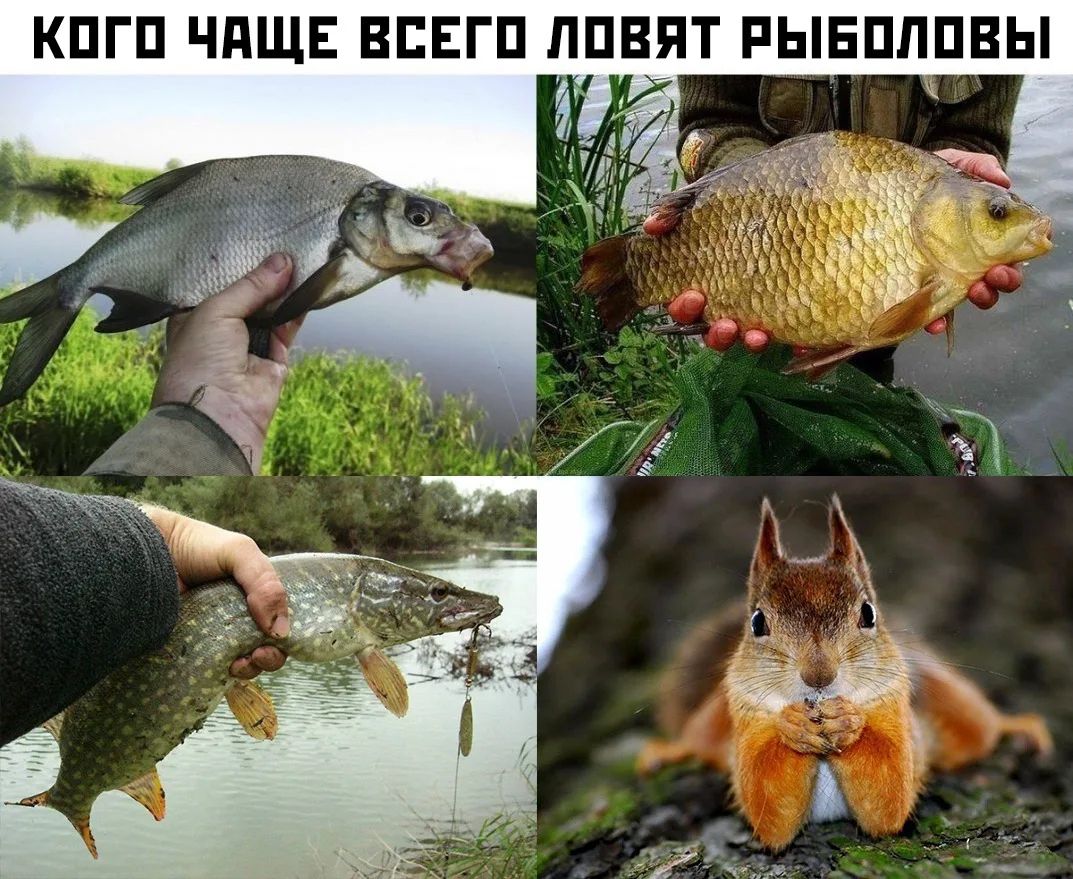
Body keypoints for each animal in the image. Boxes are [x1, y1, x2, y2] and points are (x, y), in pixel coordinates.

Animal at [637, 496, 1053, 851]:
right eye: (756, 622)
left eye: (868, 613)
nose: (819, 675)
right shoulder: (746, 717)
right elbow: (768, 810)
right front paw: (792, 726)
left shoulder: (896, 712)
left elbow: (889, 796)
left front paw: (847, 722)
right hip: (713, 719)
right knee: (698, 739)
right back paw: (667, 751)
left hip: (948, 699)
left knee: (982, 727)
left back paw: (1018, 726)